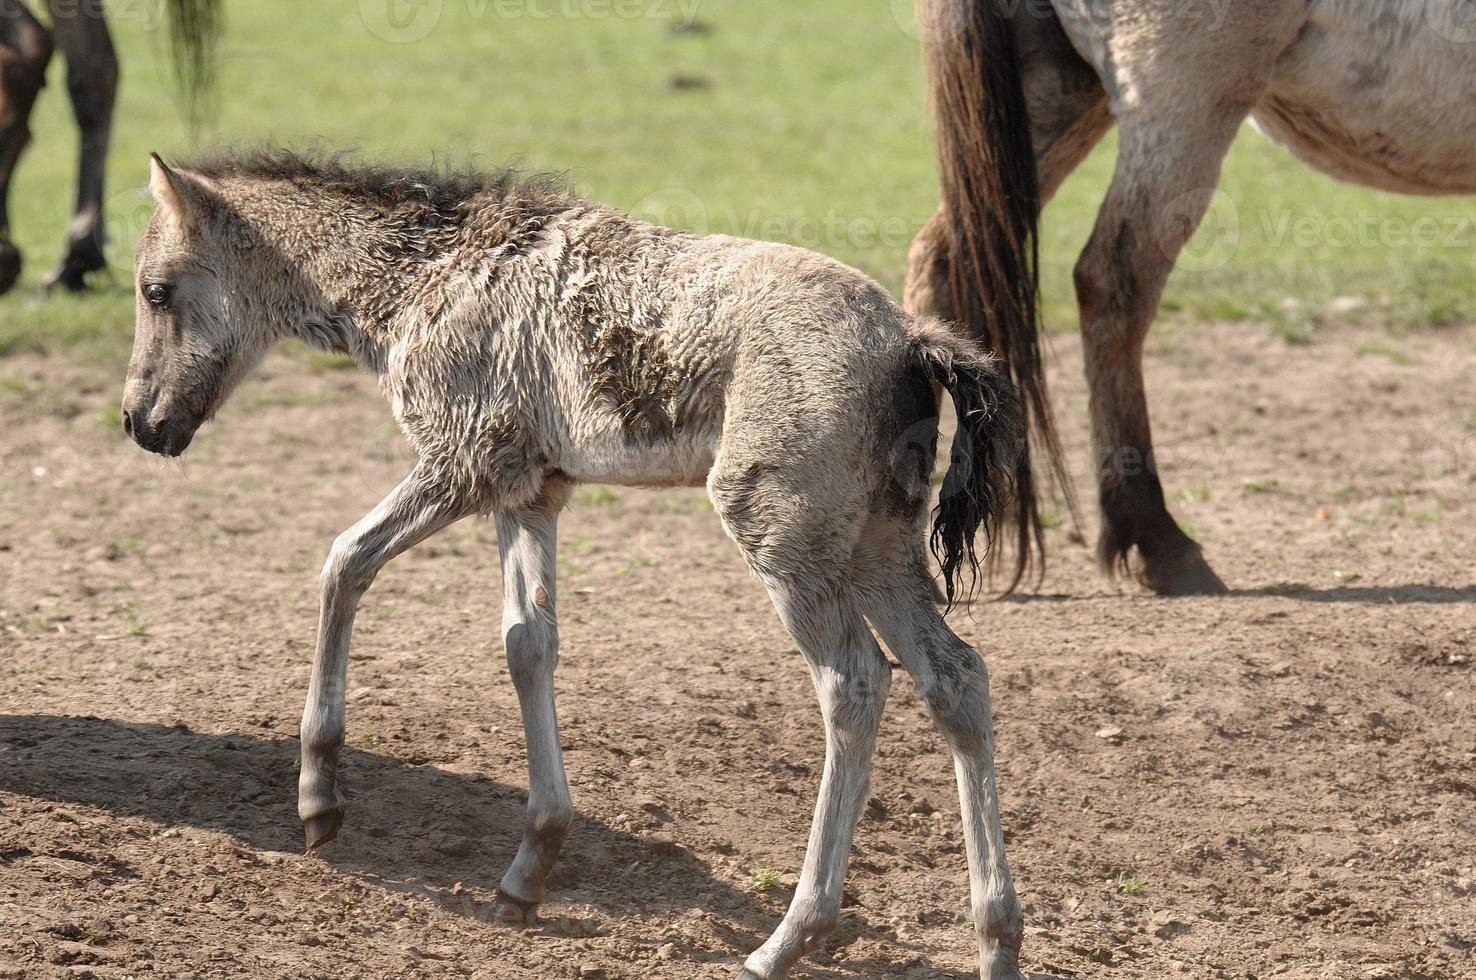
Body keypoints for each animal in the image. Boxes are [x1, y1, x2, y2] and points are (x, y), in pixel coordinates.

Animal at [123, 147, 1027, 980]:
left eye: (155, 291)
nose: (138, 421)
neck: (432, 274)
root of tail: (910, 340)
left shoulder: (461, 466)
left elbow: (344, 562)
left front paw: (318, 798)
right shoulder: (530, 492)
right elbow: (529, 644)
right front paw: (530, 866)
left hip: (785, 539)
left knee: (854, 683)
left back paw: (788, 938)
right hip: (877, 545)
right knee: (956, 679)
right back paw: (996, 939)